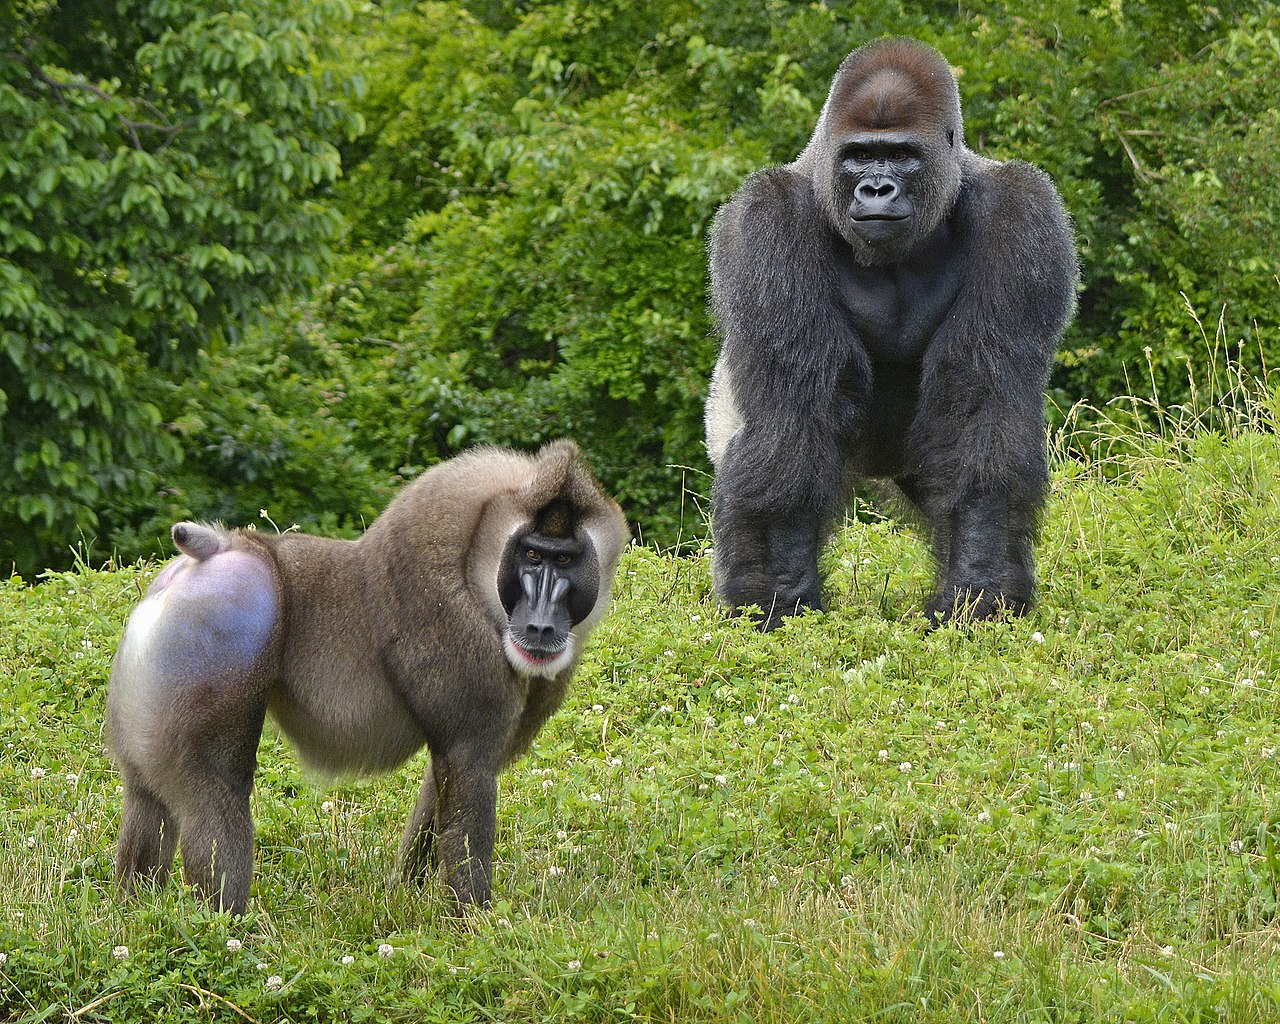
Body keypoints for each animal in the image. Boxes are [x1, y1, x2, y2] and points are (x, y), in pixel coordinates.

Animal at [706, 36, 1075, 627]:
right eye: (859, 155)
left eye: (901, 155)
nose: (876, 188)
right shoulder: (765, 220)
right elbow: (792, 420)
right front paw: (779, 599)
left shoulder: (1021, 212)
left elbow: (980, 406)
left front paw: (979, 592)